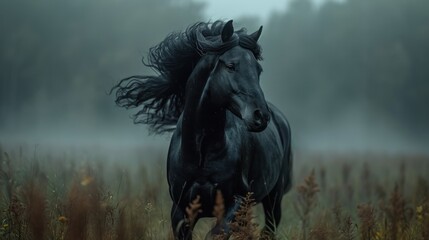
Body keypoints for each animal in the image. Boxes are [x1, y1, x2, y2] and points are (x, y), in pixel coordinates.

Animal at [111, 19, 290, 239]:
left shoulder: (236, 201)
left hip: (273, 199)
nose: (260, 116)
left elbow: (216, 234)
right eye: (231, 65)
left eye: (258, 70)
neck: (201, 152)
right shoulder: (181, 210)